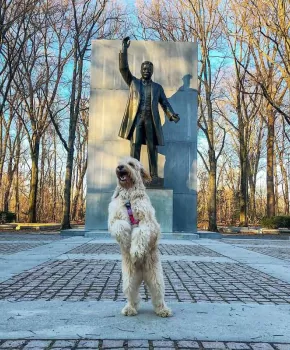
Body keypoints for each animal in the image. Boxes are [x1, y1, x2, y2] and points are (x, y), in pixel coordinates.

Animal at [109, 157, 172, 318]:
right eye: (120, 162)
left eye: (131, 164)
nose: (120, 167)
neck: (129, 197)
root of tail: (142, 274)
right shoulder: (114, 219)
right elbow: (121, 226)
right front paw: (126, 242)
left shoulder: (147, 223)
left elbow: (140, 233)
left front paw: (136, 251)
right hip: (128, 281)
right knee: (133, 297)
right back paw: (130, 309)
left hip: (156, 279)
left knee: (158, 296)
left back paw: (163, 310)